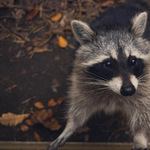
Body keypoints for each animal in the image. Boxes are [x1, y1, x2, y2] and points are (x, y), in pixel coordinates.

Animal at [48, 0, 150, 149]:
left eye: (132, 61)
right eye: (108, 63)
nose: (128, 90)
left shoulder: (145, 80)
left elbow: (144, 109)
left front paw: (140, 136)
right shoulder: (81, 76)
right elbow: (80, 102)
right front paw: (71, 124)